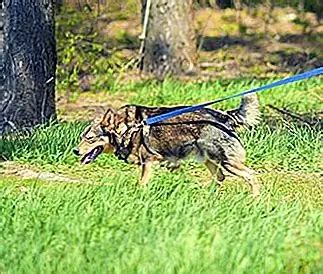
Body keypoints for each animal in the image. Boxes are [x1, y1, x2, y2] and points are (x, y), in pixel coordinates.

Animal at [73, 95, 260, 196]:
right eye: (82, 137)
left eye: (90, 138)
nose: (75, 151)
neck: (128, 128)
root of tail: (225, 116)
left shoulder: (148, 162)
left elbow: (141, 184)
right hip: (209, 159)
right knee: (219, 178)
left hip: (227, 162)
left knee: (251, 176)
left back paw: (255, 200)